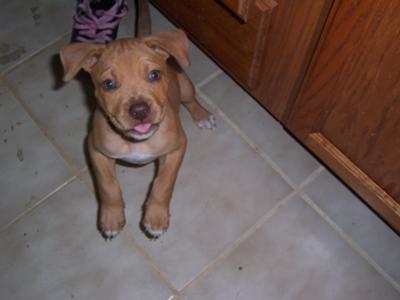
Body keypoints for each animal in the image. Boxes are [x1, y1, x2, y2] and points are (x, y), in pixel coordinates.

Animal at [59, 30, 216, 240]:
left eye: (154, 75)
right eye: (108, 84)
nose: (140, 110)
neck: (135, 141)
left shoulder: (177, 147)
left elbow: (163, 183)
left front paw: (156, 217)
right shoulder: (95, 150)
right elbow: (107, 185)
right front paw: (111, 217)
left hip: (185, 85)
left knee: (191, 100)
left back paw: (202, 115)